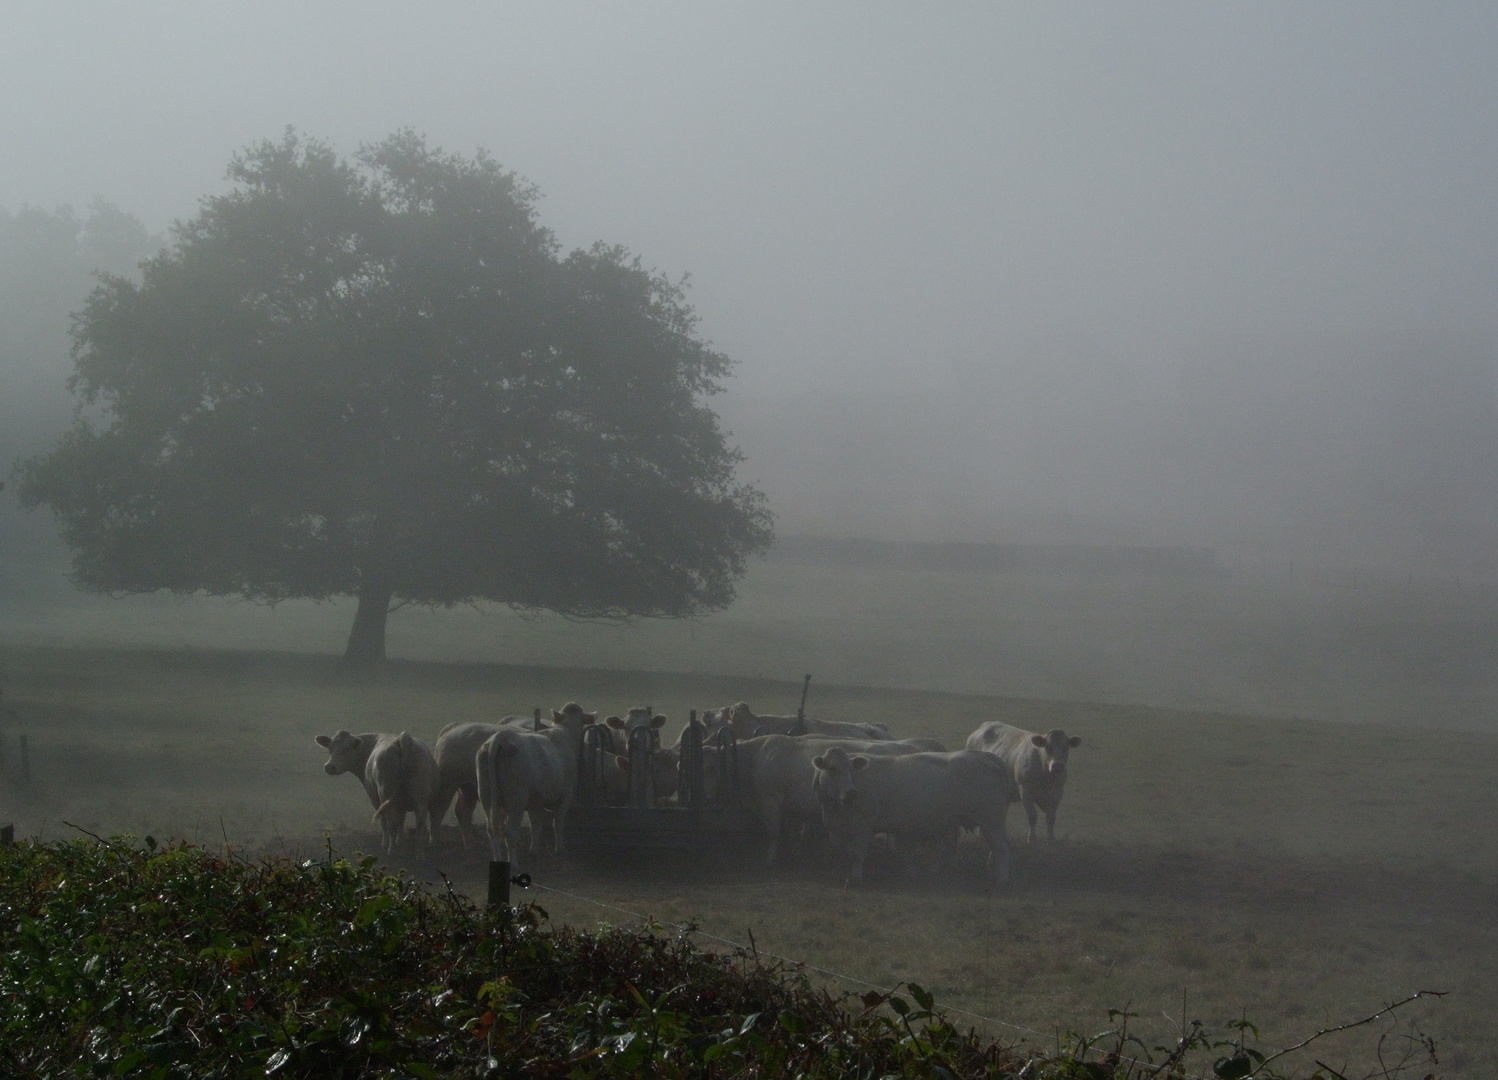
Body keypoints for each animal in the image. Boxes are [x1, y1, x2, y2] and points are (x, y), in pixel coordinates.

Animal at [314, 727, 437, 856]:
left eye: (346, 749)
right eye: (330, 748)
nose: (329, 767)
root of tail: (403, 739)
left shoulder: (375, 798)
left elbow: (384, 822)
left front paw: (385, 845)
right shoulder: (401, 804)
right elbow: (401, 821)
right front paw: (400, 841)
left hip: (386, 794)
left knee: (391, 825)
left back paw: (391, 851)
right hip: (421, 798)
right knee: (420, 825)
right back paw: (420, 855)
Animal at [479, 698, 596, 868]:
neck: (564, 733)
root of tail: (501, 737)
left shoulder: (536, 800)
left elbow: (536, 825)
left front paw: (533, 851)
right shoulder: (566, 794)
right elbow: (557, 823)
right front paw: (560, 849)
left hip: (487, 797)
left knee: (493, 829)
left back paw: (497, 859)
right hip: (516, 799)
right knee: (509, 831)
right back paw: (514, 863)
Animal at [814, 745, 1012, 886]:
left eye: (851, 769)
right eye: (832, 768)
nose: (851, 793)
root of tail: (985, 757)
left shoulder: (863, 824)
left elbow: (857, 853)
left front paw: (856, 878)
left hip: (991, 821)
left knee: (1001, 847)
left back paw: (1001, 879)